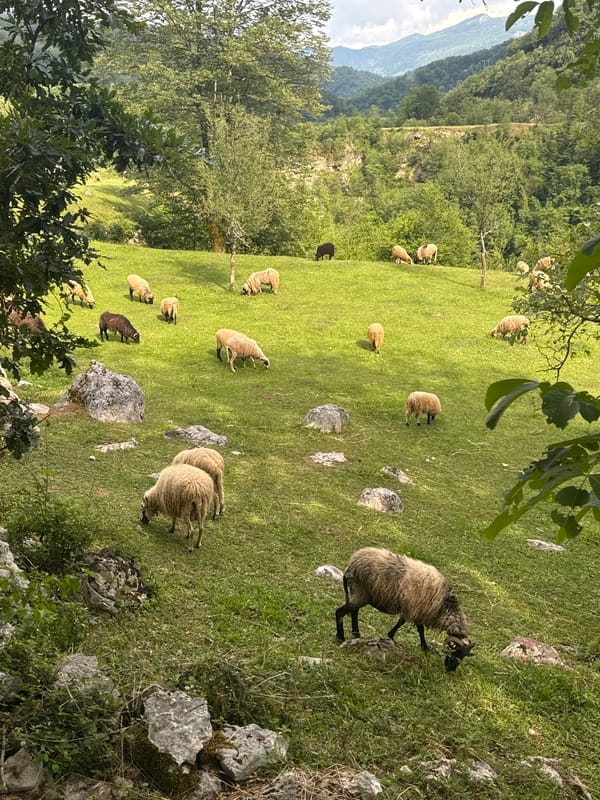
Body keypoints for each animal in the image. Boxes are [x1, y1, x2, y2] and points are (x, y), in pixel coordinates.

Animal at [335, 547, 475, 671]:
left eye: (463, 656)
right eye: (455, 651)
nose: (451, 669)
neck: (444, 605)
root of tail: (350, 566)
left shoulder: (409, 609)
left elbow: (401, 622)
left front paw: (391, 635)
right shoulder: (417, 612)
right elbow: (420, 630)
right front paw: (424, 647)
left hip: (359, 595)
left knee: (354, 612)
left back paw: (356, 634)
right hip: (361, 594)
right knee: (340, 612)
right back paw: (341, 637)